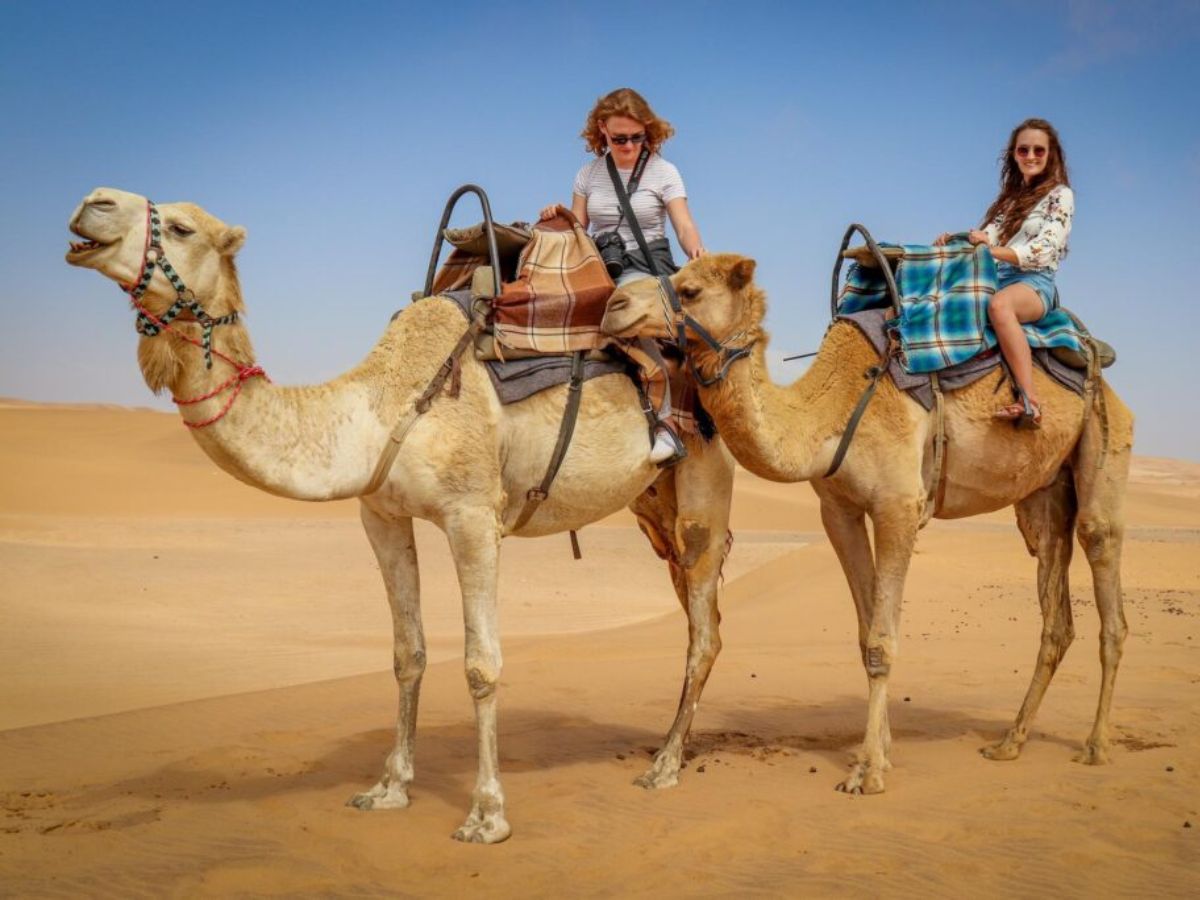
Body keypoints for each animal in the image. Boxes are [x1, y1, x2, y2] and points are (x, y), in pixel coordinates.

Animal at [64, 187, 737, 843]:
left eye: (181, 228)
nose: (92, 203)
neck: (379, 406)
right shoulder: (381, 516)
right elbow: (406, 652)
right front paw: (389, 788)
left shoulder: (473, 515)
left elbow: (480, 664)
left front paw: (486, 815)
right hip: (653, 504)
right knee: (698, 615)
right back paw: (668, 749)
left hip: (704, 478)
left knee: (704, 630)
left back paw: (664, 766)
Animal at [601, 254, 1133, 794]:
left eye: (688, 290)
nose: (613, 305)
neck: (829, 412)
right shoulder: (838, 511)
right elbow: (864, 636)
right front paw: (883, 752)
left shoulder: (899, 505)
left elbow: (881, 641)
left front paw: (868, 772)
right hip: (1044, 495)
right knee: (1055, 605)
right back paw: (1010, 743)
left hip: (1105, 444)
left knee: (1104, 568)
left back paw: (1096, 745)